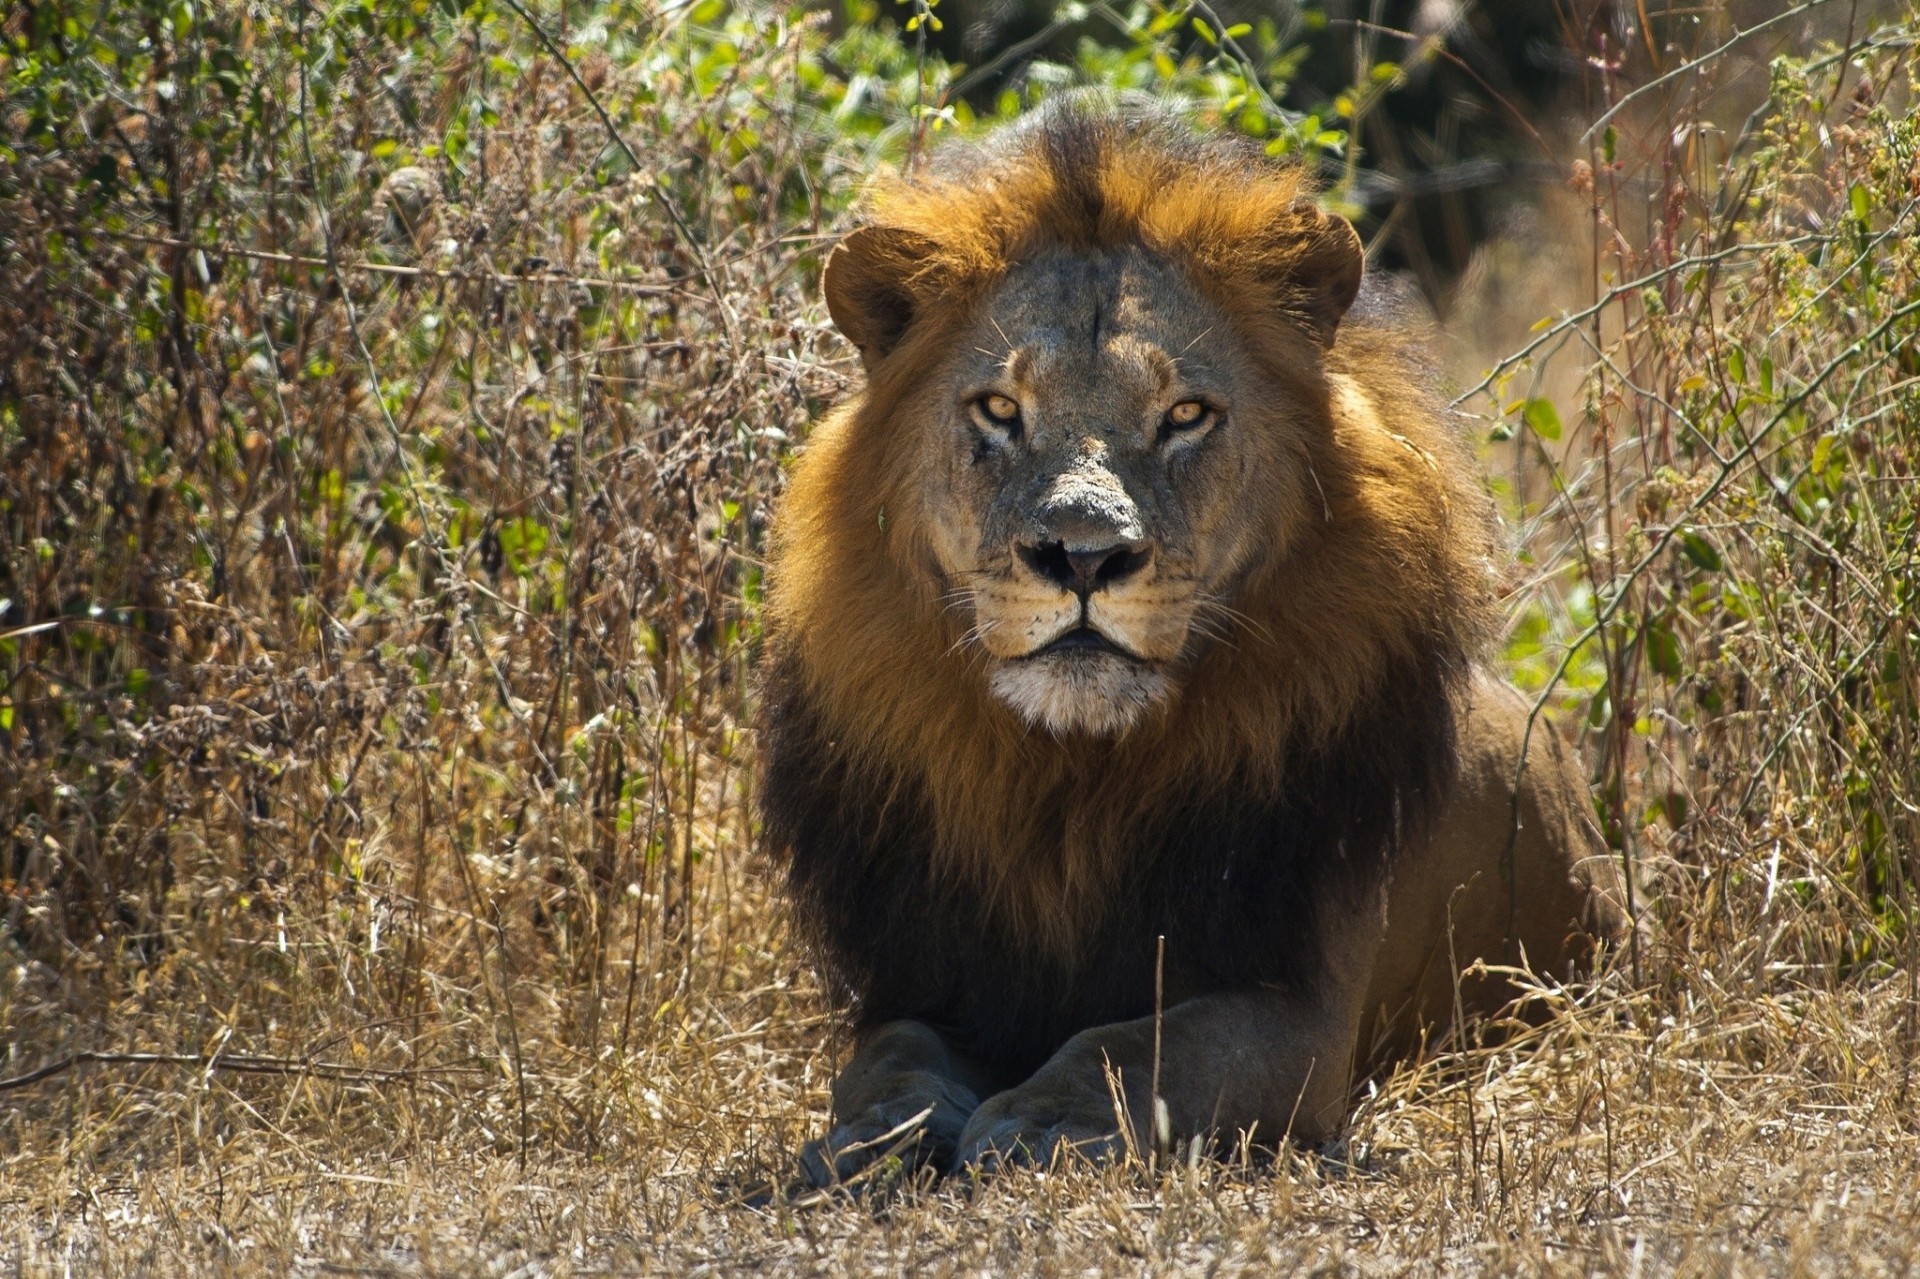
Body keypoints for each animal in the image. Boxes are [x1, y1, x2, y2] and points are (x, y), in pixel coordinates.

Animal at [758, 95, 1629, 1183]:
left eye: (1185, 415)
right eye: (999, 408)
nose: (1082, 556)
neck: (1066, 782)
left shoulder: (1299, 1009)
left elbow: (1141, 1045)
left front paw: (1039, 1121)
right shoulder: (926, 976)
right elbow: (889, 1059)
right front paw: (875, 1133)